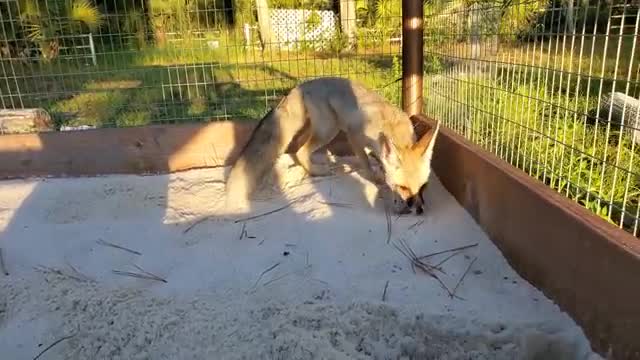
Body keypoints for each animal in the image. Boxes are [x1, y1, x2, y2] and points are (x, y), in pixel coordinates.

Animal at [225, 76, 440, 214]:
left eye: (423, 187)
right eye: (403, 187)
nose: (419, 210)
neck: (390, 126)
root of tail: (301, 86)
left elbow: (377, 160)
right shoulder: (354, 136)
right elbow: (366, 164)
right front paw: (375, 177)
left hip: (313, 129)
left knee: (295, 150)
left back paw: (301, 171)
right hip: (329, 130)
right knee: (301, 151)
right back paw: (318, 172)